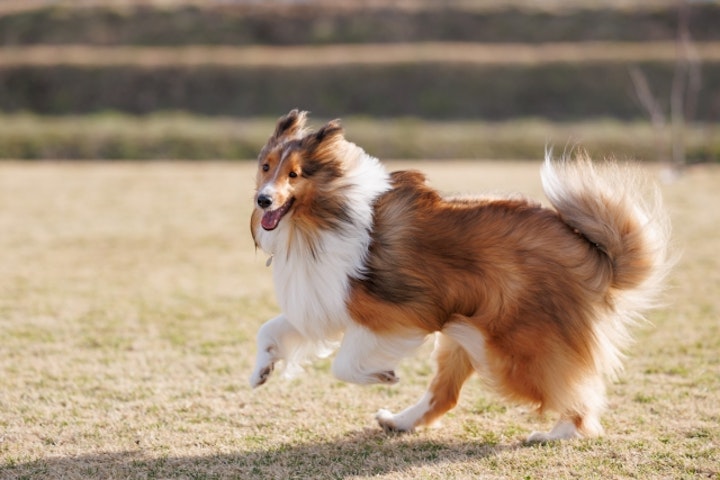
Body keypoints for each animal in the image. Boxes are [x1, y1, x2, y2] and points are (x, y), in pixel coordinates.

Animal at [248, 109, 668, 442]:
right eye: (266, 167)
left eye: (294, 174)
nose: (262, 200)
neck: (323, 217)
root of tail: (591, 253)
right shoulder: (322, 301)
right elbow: (270, 328)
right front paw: (260, 372)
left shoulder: (395, 317)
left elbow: (344, 365)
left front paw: (383, 375)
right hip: (464, 335)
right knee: (444, 395)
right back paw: (399, 422)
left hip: (509, 348)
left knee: (574, 394)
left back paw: (558, 433)